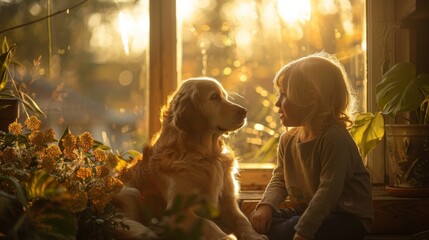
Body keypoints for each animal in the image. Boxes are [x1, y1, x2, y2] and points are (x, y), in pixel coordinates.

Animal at [113, 77, 268, 240]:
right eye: (214, 97)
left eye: (225, 96)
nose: (244, 112)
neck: (205, 156)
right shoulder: (175, 213)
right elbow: (207, 223)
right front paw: (225, 237)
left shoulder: (227, 201)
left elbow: (242, 219)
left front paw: (255, 235)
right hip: (130, 193)